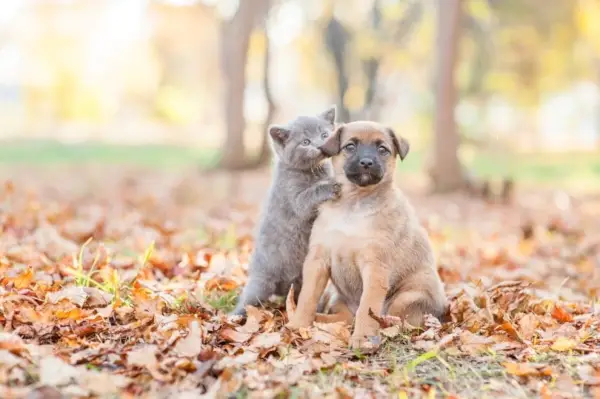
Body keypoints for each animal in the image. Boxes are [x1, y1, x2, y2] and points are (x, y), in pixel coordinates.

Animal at [232, 105, 340, 316]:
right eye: (305, 142)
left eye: (324, 134)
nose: (319, 145)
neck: (314, 172)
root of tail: (282, 288)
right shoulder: (294, 197)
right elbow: (310, 195)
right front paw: (330, 185)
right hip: (261, 282)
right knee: (249, 299)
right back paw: (235, 315)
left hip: (301, 281)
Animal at [286, 119, 446, 350]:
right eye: (350, 146)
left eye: (383, 149)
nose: (367, 163)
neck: (353, 204)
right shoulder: (317, 261)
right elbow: (307, 298)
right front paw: (298, 324)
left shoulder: (375, 267)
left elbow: (367, 308)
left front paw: (362, 339)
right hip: (337, 298)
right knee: (345, 318)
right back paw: (320, 321)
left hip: (406, 298)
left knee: (395, 321)